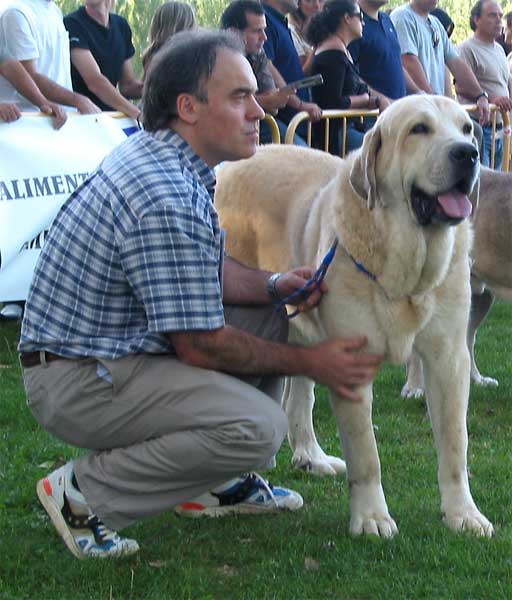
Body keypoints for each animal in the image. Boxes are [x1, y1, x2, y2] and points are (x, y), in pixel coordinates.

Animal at [215, 96, 492, 536]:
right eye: (419, 129)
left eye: (466, 128)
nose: (468, 153)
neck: (404, 268)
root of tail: (234, 162)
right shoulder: (350, 360)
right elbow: (366, 454)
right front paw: (372, 517)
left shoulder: (449, 358)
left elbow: (454, 444)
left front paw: (462, 514)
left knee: (299, 397)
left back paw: (310, 455)